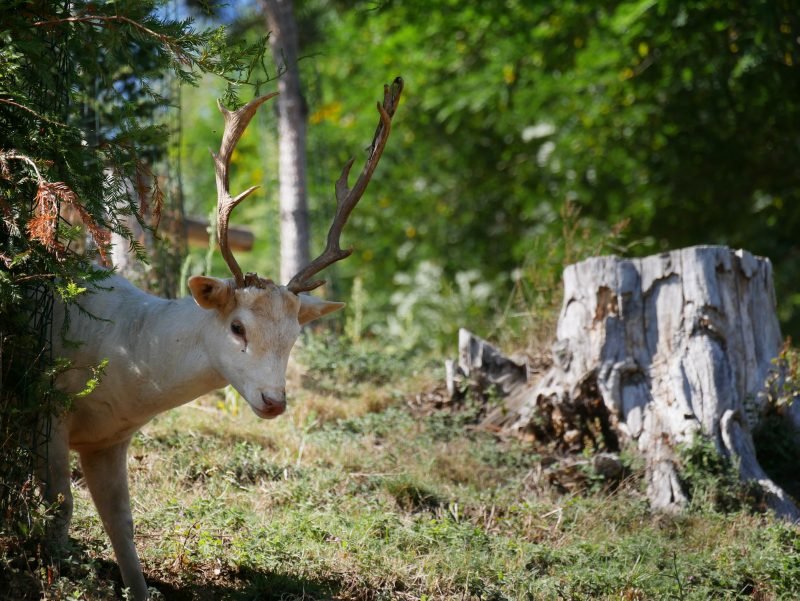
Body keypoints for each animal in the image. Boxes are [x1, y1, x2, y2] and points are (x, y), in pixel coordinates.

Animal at [45, 77, 400, 596]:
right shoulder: (46, 408)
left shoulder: (107, 439)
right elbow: (59, 509)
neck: (120, 357)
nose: (274, 401)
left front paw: (138, 588)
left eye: (294, 335)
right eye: (237, 326)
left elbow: (121, 525)